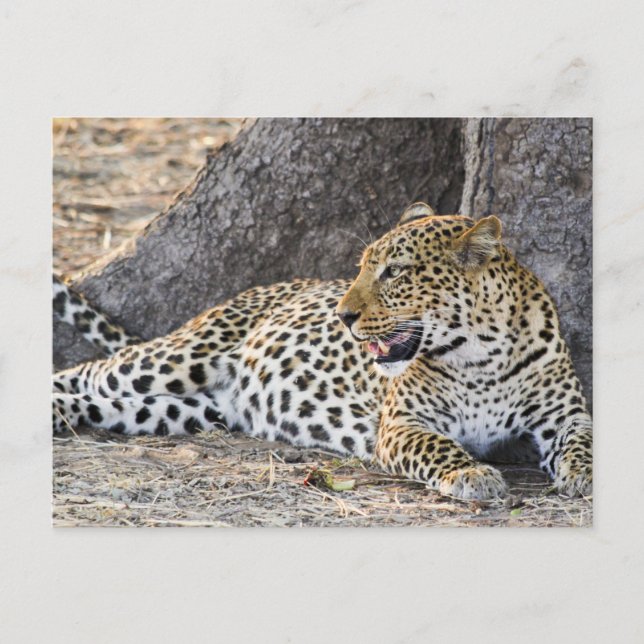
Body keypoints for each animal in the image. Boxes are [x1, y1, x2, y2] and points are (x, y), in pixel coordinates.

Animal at [52, 202, 592, 500]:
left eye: (394, 272)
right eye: (362, 266)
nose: (342, 315)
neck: (481, 355)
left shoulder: (565, 415)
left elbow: (583, 442)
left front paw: (584, 476)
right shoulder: (402, 425)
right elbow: (439, 446)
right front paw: (472, 473)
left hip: (190, 410)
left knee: (109, 405)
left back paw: (64, 415)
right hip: (177, 360)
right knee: (90, 370)